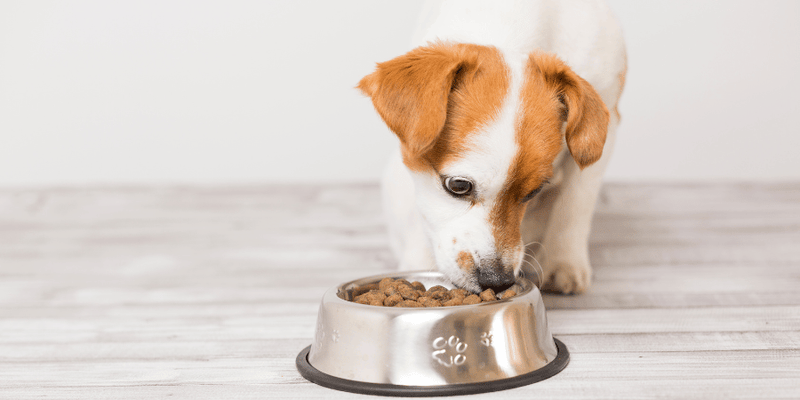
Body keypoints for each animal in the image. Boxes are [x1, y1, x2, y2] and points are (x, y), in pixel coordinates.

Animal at [360, 0, 628, 294]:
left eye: (534, 191)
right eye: (458, 185)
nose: (497, 281)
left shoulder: (602, 127)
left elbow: (575, 203)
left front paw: (564, 262)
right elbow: (424, 215)